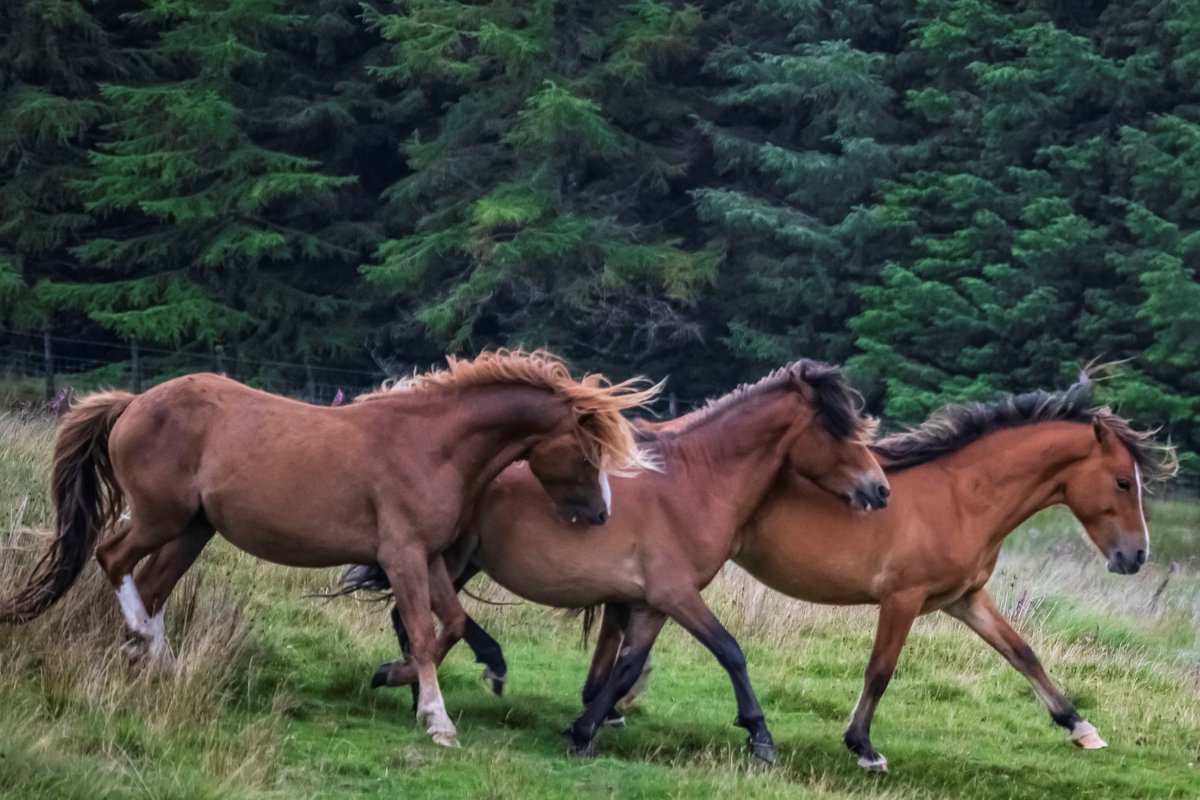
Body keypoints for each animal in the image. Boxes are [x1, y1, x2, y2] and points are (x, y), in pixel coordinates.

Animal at [0, 349, 660, 749]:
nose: (601, 514)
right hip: (160, 518)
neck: (433, 445)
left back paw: (156, 662)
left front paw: (394, 677)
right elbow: (425, 633)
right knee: (114, 560)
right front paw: (437, 720)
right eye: (588, 451)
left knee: (154, 585)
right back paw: (141, 643)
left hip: (192, 529)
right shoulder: (401, 555)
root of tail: (134, 402)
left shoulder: (427, 558)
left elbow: (449, 626)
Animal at [342, 360, 891, 762]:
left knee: (410, 618)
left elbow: (625, 670)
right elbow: (730, 651)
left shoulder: (650, 604)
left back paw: (413, 689)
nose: (880, 489)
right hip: (449, 556)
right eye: (839, 430)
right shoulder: (676, 595)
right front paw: (760, 737)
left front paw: (584, 731)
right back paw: (443, 678)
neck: (696, 481)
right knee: (416, 617)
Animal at [440, 376, 1176, 769]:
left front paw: (1080, 727)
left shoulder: (964, 599)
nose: (1134, 557)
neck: (962, 496)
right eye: (1121, 481)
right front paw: (862, 746)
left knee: (618, 634)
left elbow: (1023, 654)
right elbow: (880, 671)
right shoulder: (903, 600)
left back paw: (603, 711)